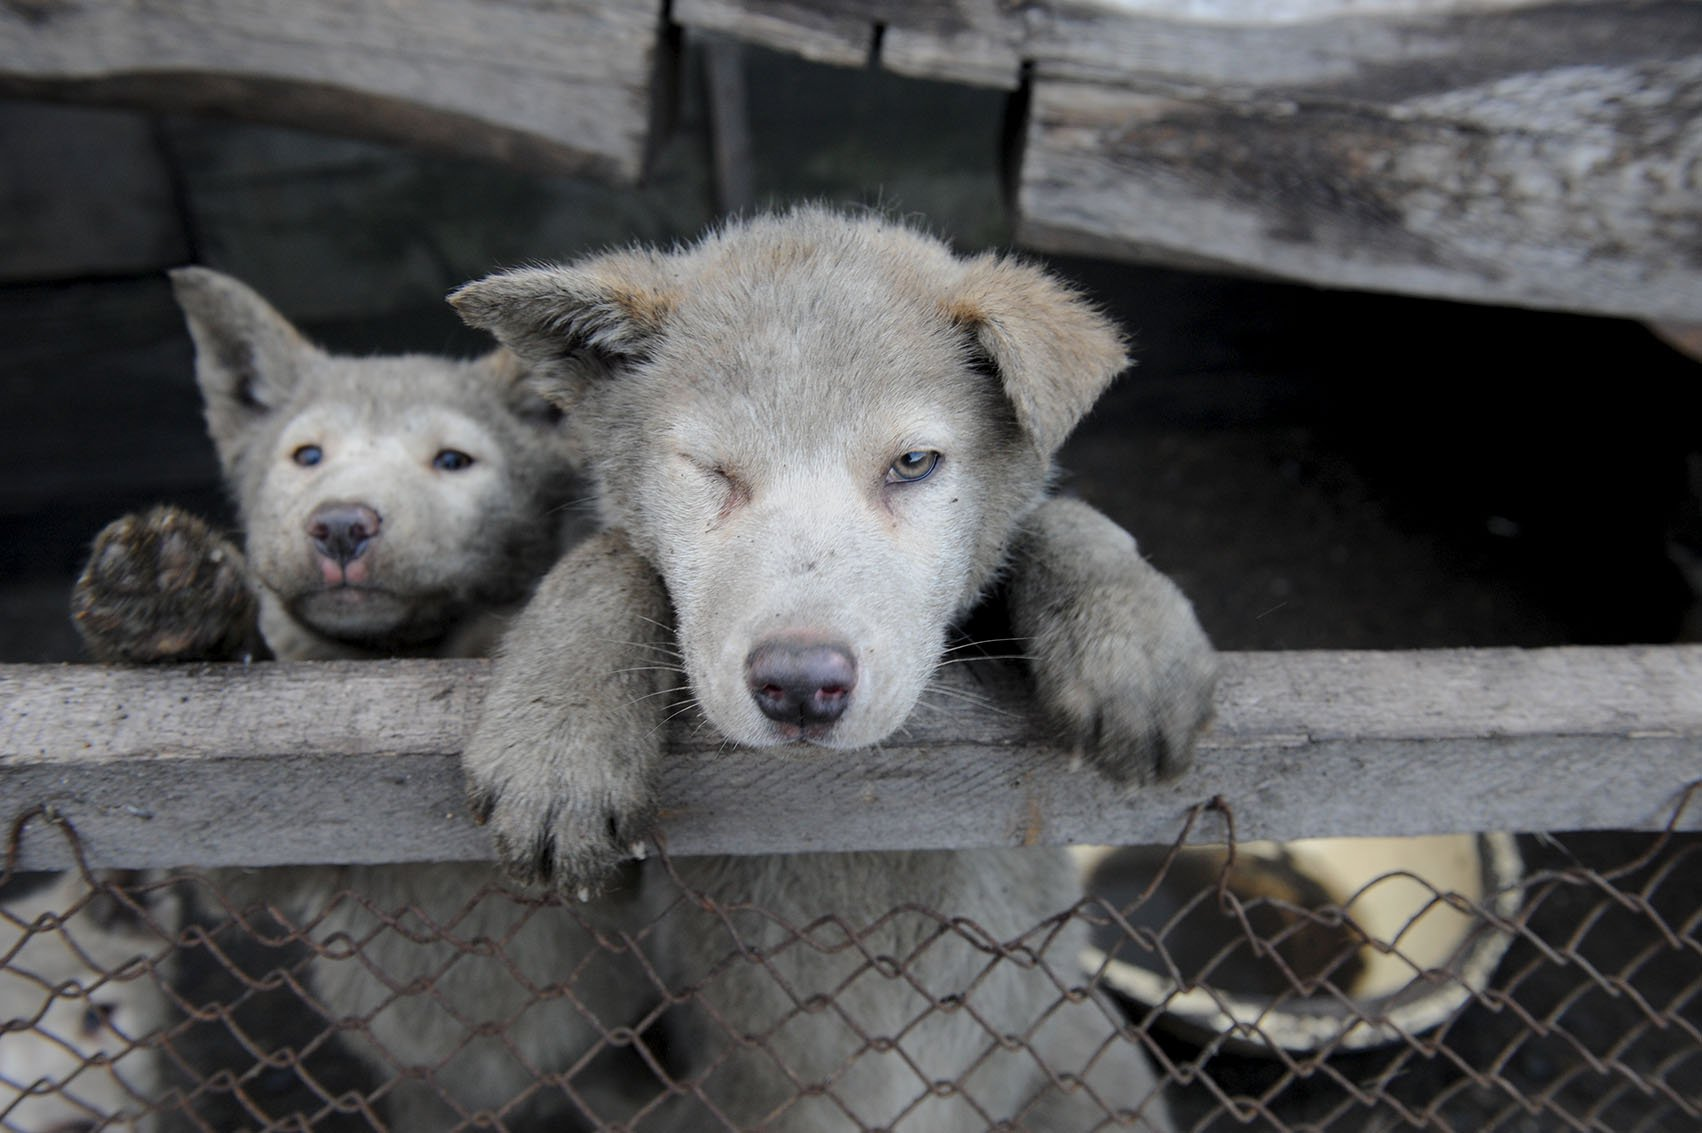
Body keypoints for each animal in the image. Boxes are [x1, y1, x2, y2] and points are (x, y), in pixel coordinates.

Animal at [452, 207, 1211, 1122]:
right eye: (711, 470)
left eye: (913, 464)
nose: (801, 686)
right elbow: (612, 555)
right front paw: (560, 738)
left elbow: (1051, 517)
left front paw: (1130, 639)